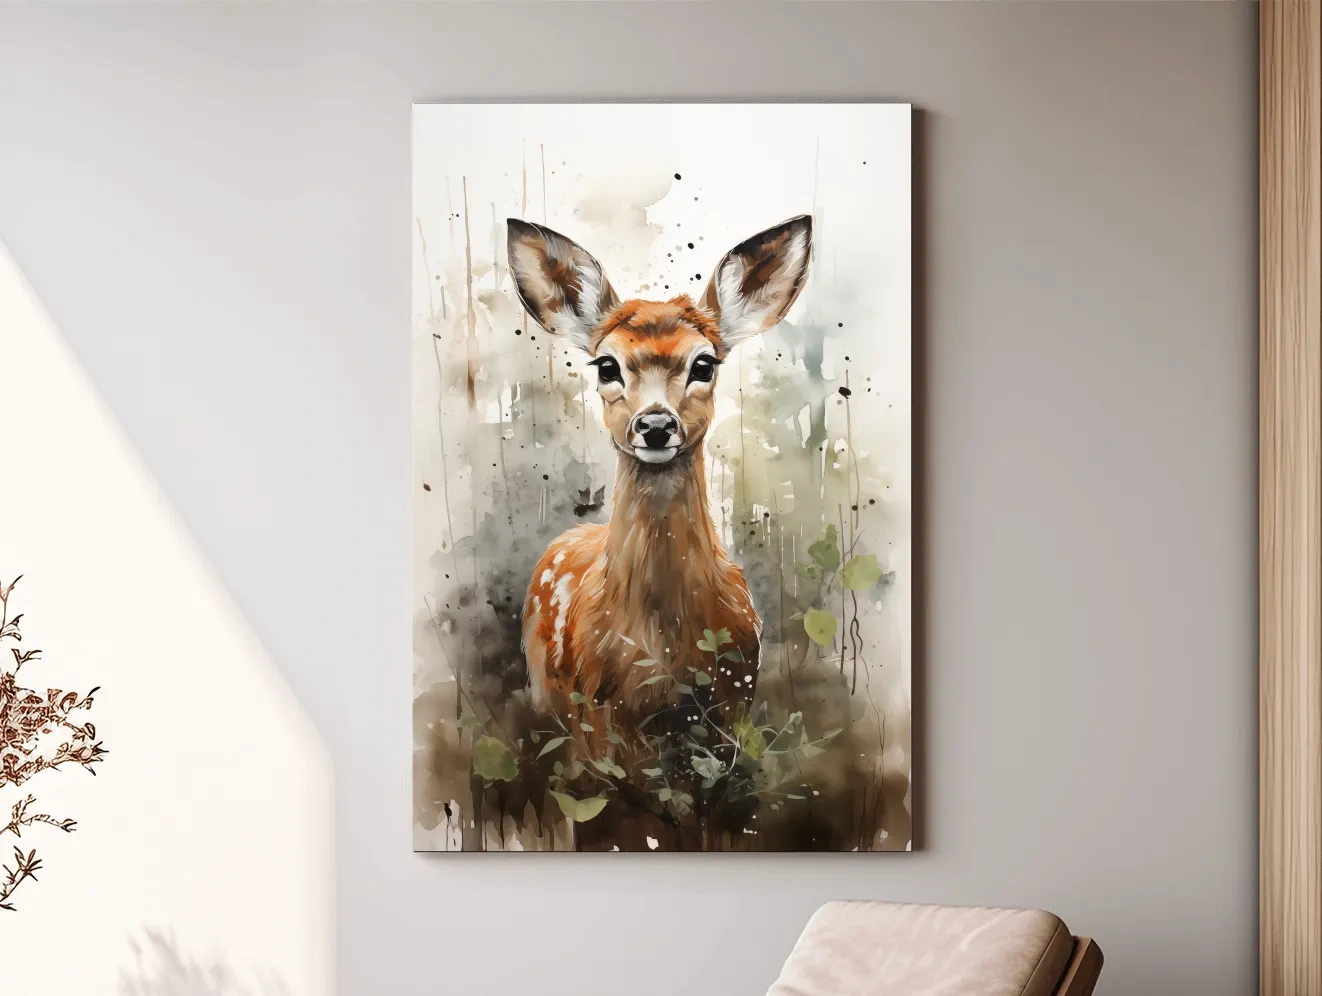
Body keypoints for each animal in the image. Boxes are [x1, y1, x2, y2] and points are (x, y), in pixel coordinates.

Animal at [508, 214, 812, 758]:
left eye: (704, 364)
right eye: (606, 365)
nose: (655, 425)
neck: (662, 653)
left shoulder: (735, 701)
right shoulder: (596, 715)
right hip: (545, 689)